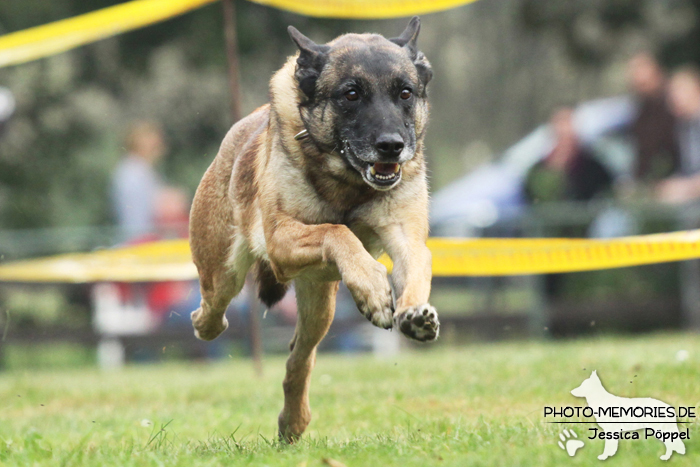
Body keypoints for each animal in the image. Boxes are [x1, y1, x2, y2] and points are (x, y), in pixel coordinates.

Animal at [187, 17, 438, 442]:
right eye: (351, 94)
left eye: (405, 93)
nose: (392, 146)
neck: (348, 181)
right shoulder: (281, 241)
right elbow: (337, 231)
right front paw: (374, 288)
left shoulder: (406, 237)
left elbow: (417, 265)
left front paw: (414, 313)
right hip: (223, 274)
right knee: (211, 310)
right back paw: (207, 324)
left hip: (320, 303)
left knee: (298, 359)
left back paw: (293, 421)